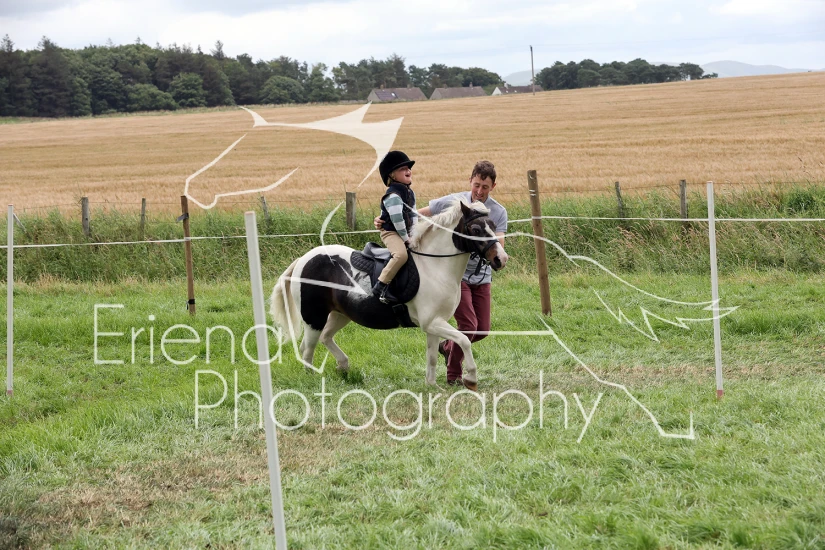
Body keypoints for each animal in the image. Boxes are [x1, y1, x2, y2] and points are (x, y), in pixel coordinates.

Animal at [269, 200, 509, 391]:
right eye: (476, 228)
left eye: (493, 226)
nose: (501, 259)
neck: (434, 266)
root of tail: (302, 259)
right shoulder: (432, 322)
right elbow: (464, 341)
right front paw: (471, 379)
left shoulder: (433, 324)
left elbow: (432, 356)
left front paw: (432, 386)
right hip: (314, 318)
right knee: (307, 350)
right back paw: (314, 381)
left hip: (340, 314)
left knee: (326, 337)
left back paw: (343, 367)